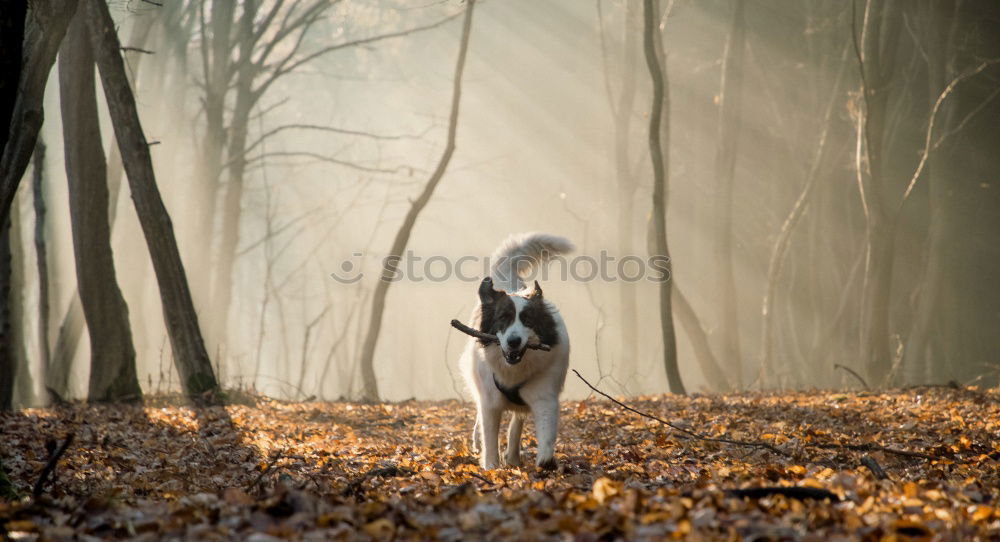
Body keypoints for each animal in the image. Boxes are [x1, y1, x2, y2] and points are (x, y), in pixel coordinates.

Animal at [458, 232, 572, 470]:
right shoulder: (490, 401)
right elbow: (489, 436)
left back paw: (512, 455)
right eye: (503, 318)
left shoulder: (544, 394)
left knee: (517, 420)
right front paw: (492, 468)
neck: (513, 369)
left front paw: (544, 462)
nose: (513, 341)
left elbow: (546, 433)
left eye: (528, 320)